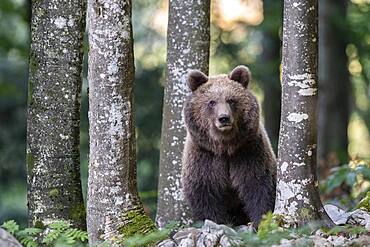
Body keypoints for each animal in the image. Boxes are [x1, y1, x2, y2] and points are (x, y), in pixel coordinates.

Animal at [181, 64, 276, 227]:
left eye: (231, 100)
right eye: (212, 102)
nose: (223, 118)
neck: (225, 146)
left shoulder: (248, 151)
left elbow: (258, 184)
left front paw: (259, 222)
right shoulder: (204, 156)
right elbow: (205, 192)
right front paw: (217, 221)